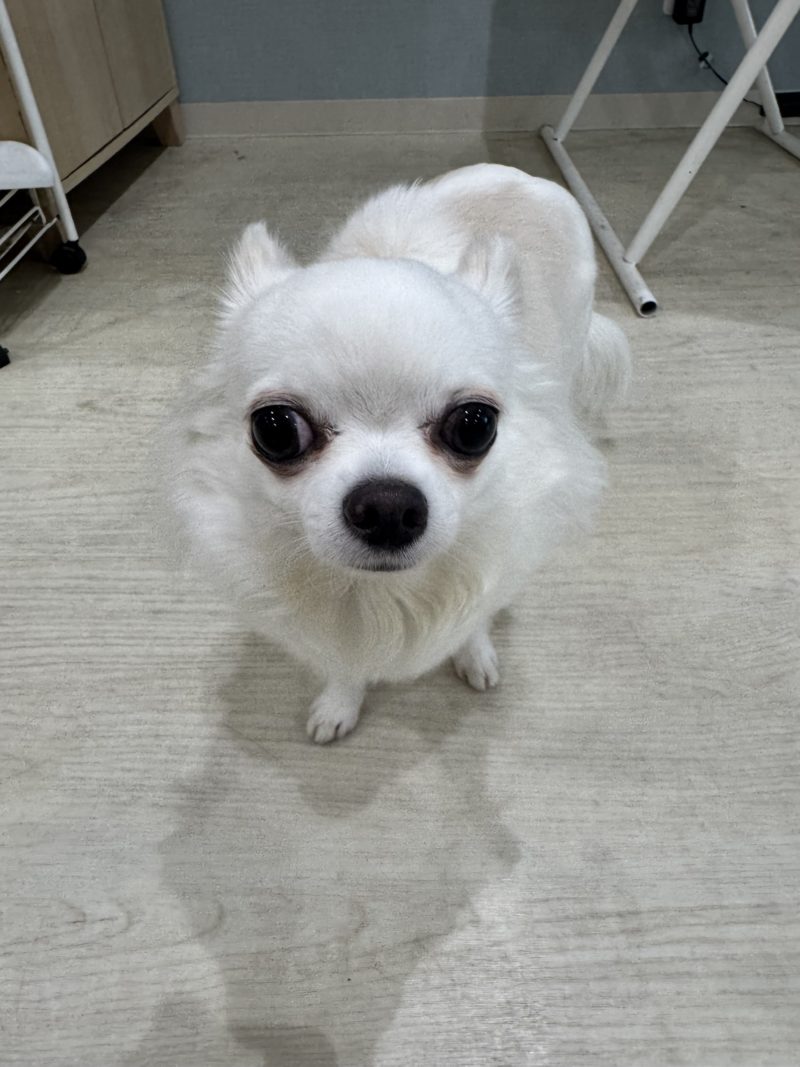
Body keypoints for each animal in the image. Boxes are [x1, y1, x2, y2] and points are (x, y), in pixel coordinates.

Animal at [169, 163, 629, 743]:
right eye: (275, 430)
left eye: (475, 425)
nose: (387, 505)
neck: (381, 596)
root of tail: (519, 174)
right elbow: (345, 664)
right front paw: (340, 703)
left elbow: (475, 617)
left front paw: (474, 653)